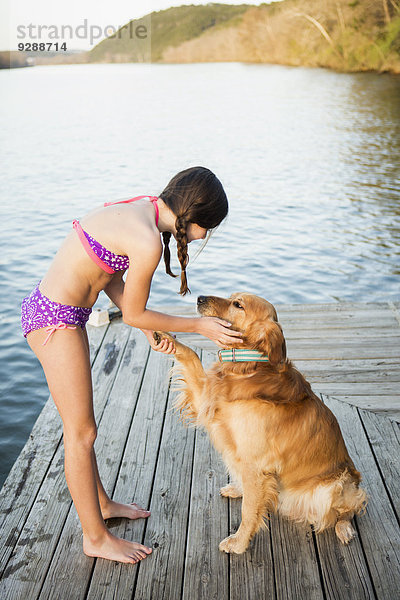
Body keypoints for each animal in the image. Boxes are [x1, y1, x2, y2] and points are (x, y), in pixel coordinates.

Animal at [153, 292, 366, 556]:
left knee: (347, 511)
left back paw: (344, 528)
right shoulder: (206, 400)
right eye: (231, 297)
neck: (247, 366)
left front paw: (238, 543)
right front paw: (165, 336)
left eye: (238, 305)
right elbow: (191, 355)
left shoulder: (256, 463)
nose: (200, 297)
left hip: (338, 483)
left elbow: (249, 511)